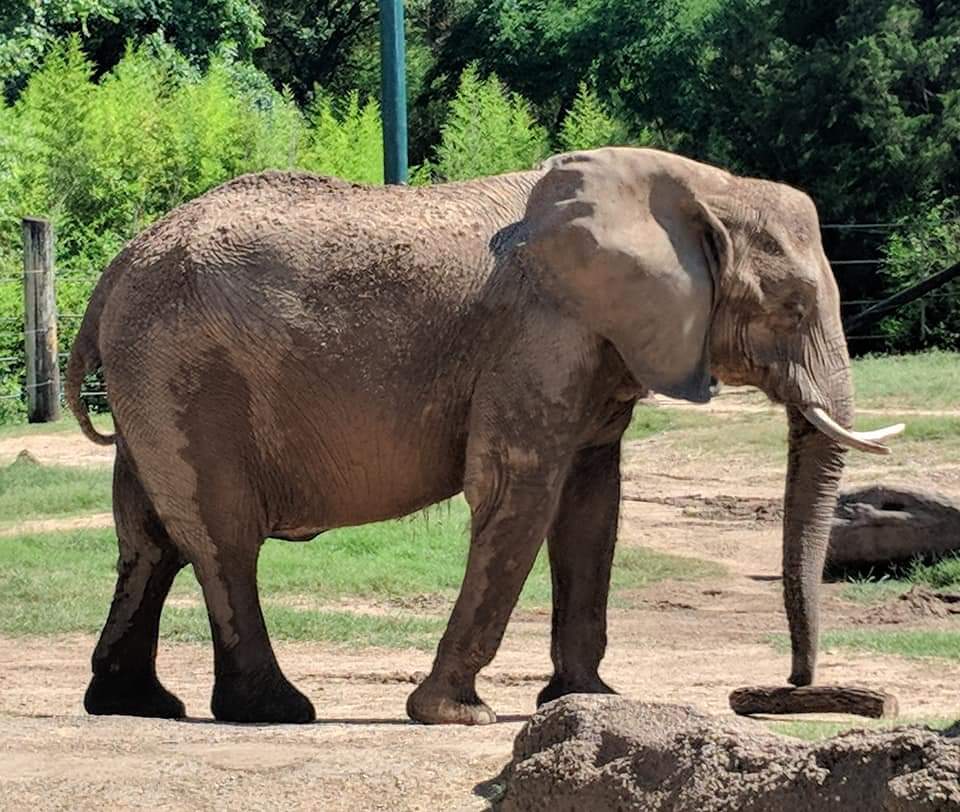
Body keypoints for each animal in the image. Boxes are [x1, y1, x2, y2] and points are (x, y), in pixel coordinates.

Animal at [66, 147, 902, 726]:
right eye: (792, 308)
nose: (791, 686)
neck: (696, 184)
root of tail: (114, 269)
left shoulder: (595, 350)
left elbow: (592, 508)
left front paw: (588, 700)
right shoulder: (539, 335)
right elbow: (516, 490)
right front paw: (458, 716)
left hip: (153, 376)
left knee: (149, 541)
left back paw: (136, 705)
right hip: (181, 371)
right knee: (221, 541)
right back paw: (275, 711)